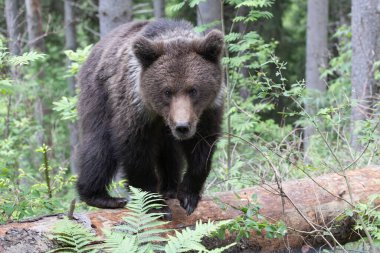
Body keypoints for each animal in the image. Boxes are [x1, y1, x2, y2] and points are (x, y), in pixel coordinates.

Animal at [77, 19, 224, 216]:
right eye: (167, 91)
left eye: (193, 90)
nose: (182, 127)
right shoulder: (136, 109)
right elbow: (135, 150)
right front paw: (155, 205)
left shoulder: (207, 111)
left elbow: (202, 147)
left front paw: (188, 196)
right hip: (99, 94)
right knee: (99, 144)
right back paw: (102, 197)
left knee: (169, 151)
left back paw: (170, 187)